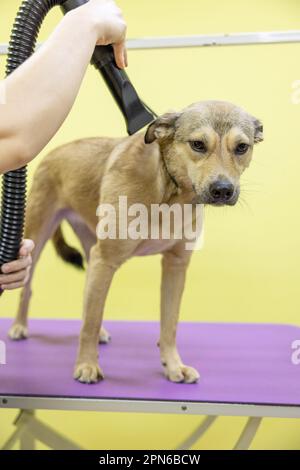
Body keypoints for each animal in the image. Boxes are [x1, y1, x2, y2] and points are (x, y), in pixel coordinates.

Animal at [8, 101, 264, 384]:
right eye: (198, 144)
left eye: (242, 147)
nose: (223, 190)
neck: (170, 193)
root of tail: (54, 152)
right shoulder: (106, 260)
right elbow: (90, 322)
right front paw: (86, 365)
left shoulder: (175, 265)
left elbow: (169, 324)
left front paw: (173, 365)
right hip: (37, 239)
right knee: (30, 290)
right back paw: (19, 326)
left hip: (91, 248)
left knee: (89, 300)